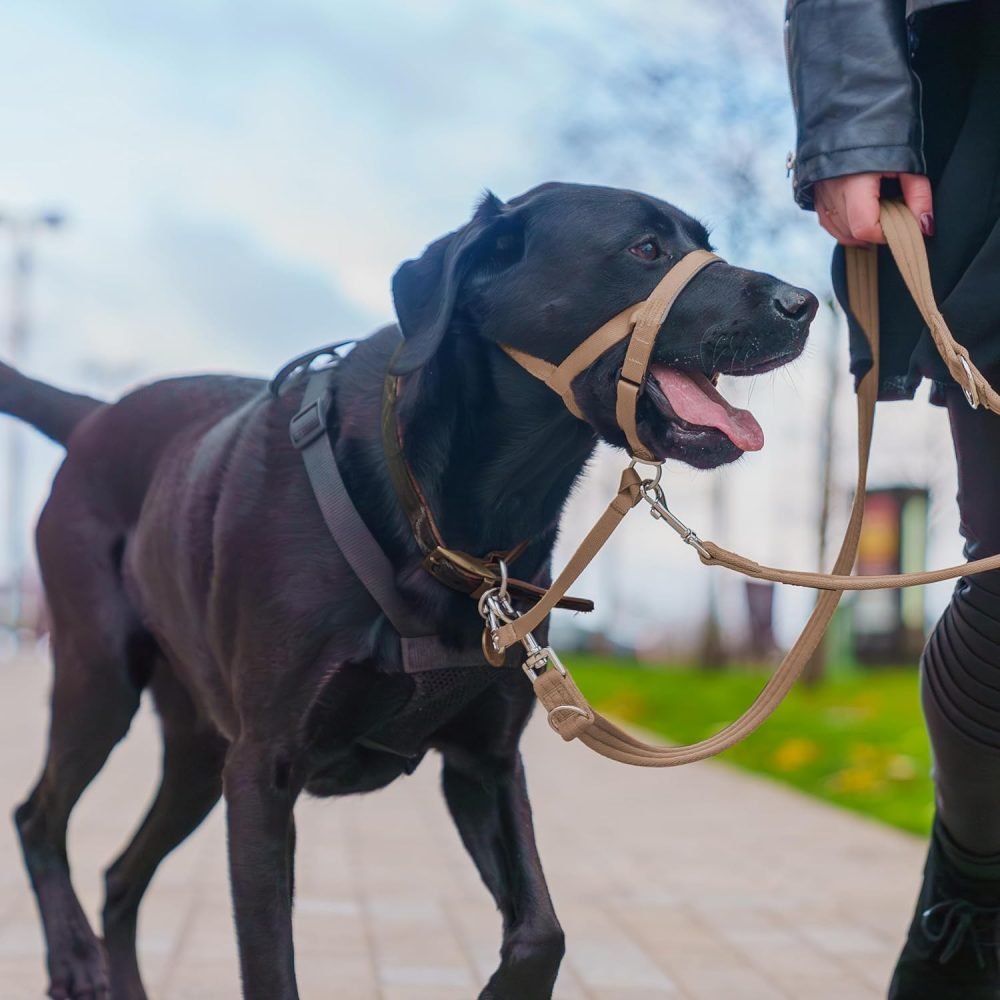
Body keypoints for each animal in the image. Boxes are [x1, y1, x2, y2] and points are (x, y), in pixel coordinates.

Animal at [0, 182, 816, 1000]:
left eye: (704, 241)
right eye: (646, 249)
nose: (805, 302)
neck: (454, 512)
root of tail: (93, 416)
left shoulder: (485, 761)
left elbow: (542, 932)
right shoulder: (264, 770)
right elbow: (271, 966)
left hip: (200, 753)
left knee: (119, 876)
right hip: (101, 681)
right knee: (39, 817)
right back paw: (73, 959)